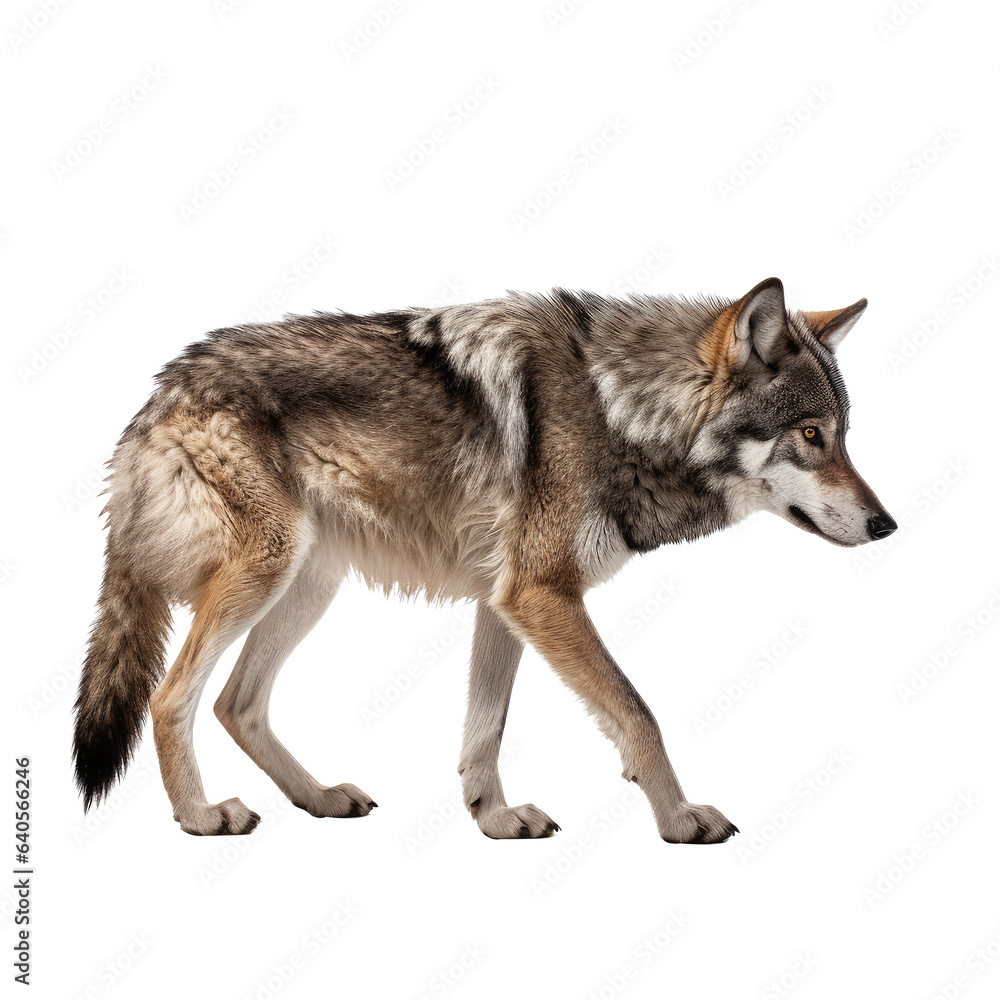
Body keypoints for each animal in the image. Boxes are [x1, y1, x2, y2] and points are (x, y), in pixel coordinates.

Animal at [72, 277, 895, 843]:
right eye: (812, 436)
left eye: (845, 437)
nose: (887, 524)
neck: (621, 410)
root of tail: (157, 395)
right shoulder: (541, 595)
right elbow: (636, 711)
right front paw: (680, 817)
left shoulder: (505, 601)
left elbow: (485, 731)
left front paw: (493, 818)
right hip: (267, 571)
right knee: (172, 696)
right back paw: (202, 816)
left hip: (309, 586)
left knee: (235, 704)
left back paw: (319, 799)